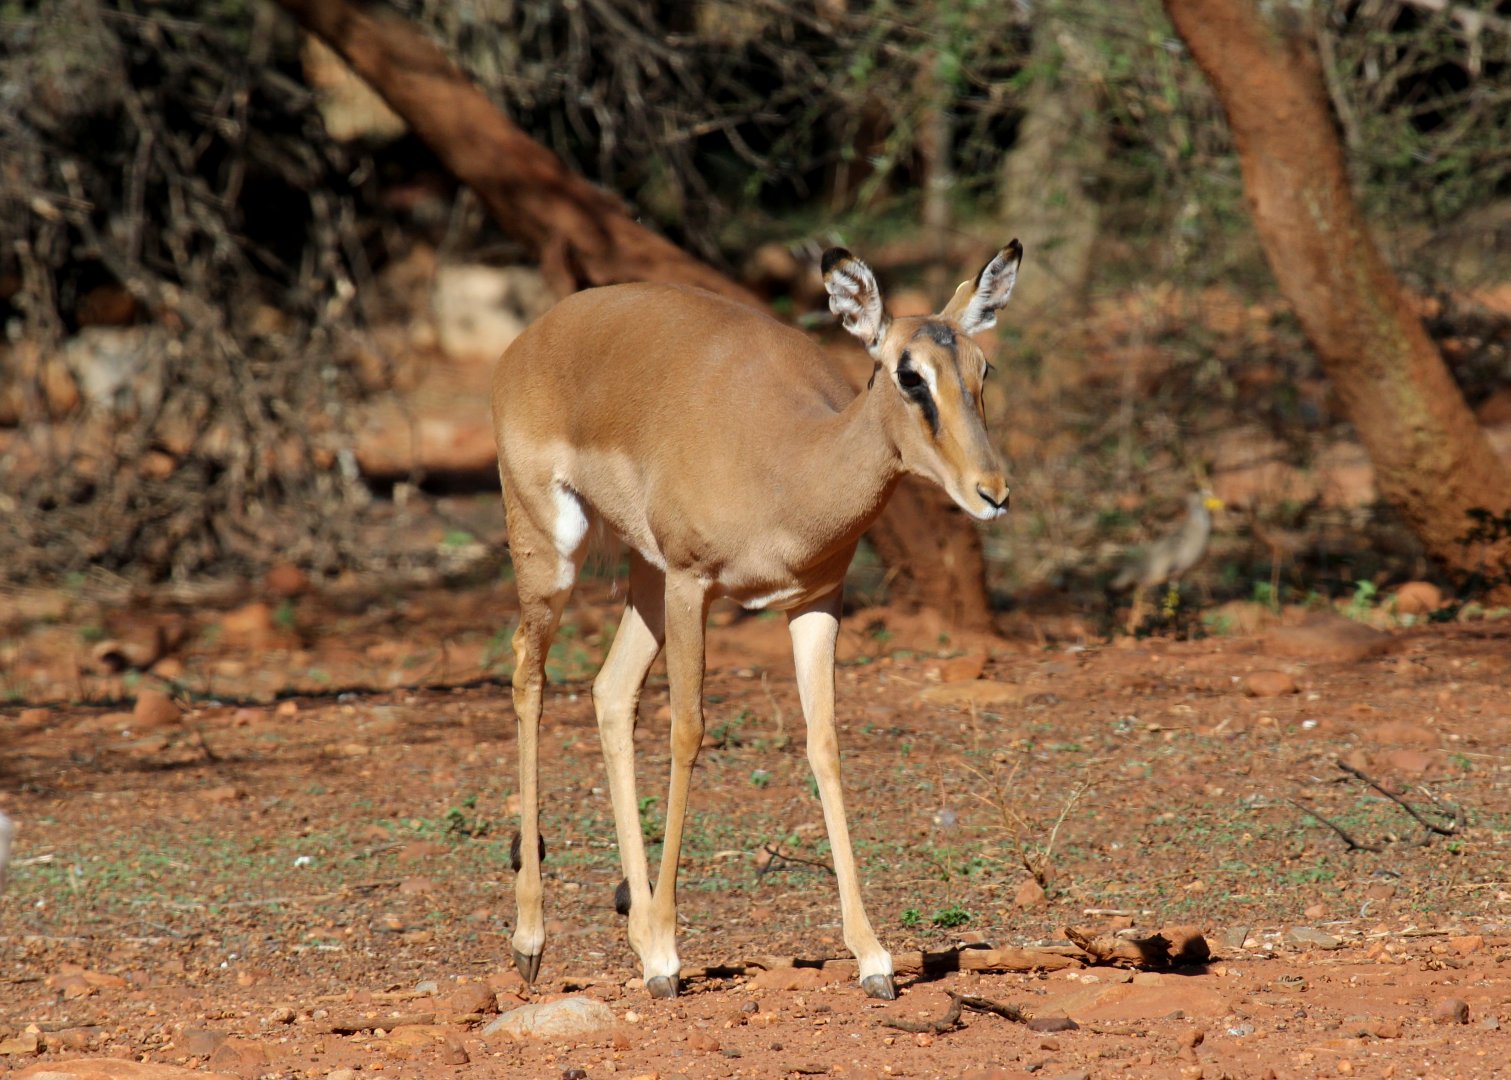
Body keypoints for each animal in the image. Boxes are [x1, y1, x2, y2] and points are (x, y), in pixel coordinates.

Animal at [491, 241, 1021, 1000]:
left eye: (982, 368)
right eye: (908, 374)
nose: (993, 492)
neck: (788, 460)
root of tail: (532, 339)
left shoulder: (815, 603)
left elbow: (824, 743)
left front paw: (873, 958)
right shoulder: (694, 586)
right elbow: (686, 733)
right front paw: (667, 955)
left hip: (644, 577)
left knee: (609, 690)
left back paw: (634, 928)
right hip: (553, 553)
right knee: (527, 678)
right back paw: (535, 941)